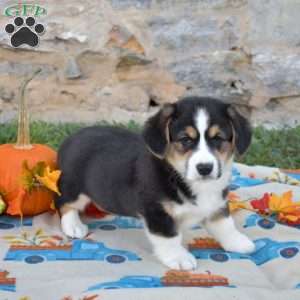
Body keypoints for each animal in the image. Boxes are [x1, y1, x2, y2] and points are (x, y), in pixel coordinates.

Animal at [55, 97, 254, 270]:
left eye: (218, 138)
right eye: (185, 140)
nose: (204, 168)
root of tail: (69, 139)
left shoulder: (217, 203)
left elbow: (225, 225)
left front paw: (238, 242)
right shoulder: (157, 212)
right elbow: (170, 237)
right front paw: (179, 257)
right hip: (74, 188)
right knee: (64, 203)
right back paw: (73, 226)